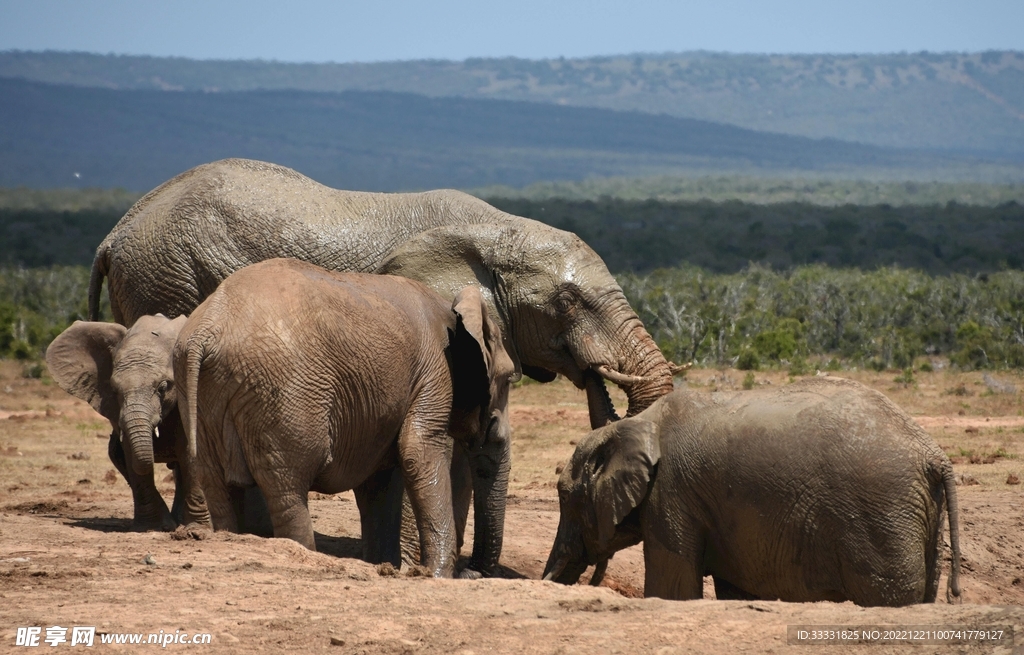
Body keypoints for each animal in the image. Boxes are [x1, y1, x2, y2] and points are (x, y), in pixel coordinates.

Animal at [45, 315, 208, 530]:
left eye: (163, 387)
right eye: (115, 389)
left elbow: (189, 450)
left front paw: (197, 527)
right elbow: (130, 453)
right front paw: (151, 527)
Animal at [173, 259, 515, 578]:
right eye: (510, 379)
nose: (470, 571)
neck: (456, 312)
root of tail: (206, 331)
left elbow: (377, 483)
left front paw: (384, 566)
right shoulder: (435, 372)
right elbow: (419, 453)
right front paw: (436, 575)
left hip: (201, 395)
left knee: (218, 487)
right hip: (282, 396)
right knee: (288, 491)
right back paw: (305, 554)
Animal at [543, 377, 962, 607]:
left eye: (564, 496)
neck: (635, 424)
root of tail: (933, 452)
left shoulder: (672, 493)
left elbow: (672, 587)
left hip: (881, 513)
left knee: (888, 596)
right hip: (919, 510)